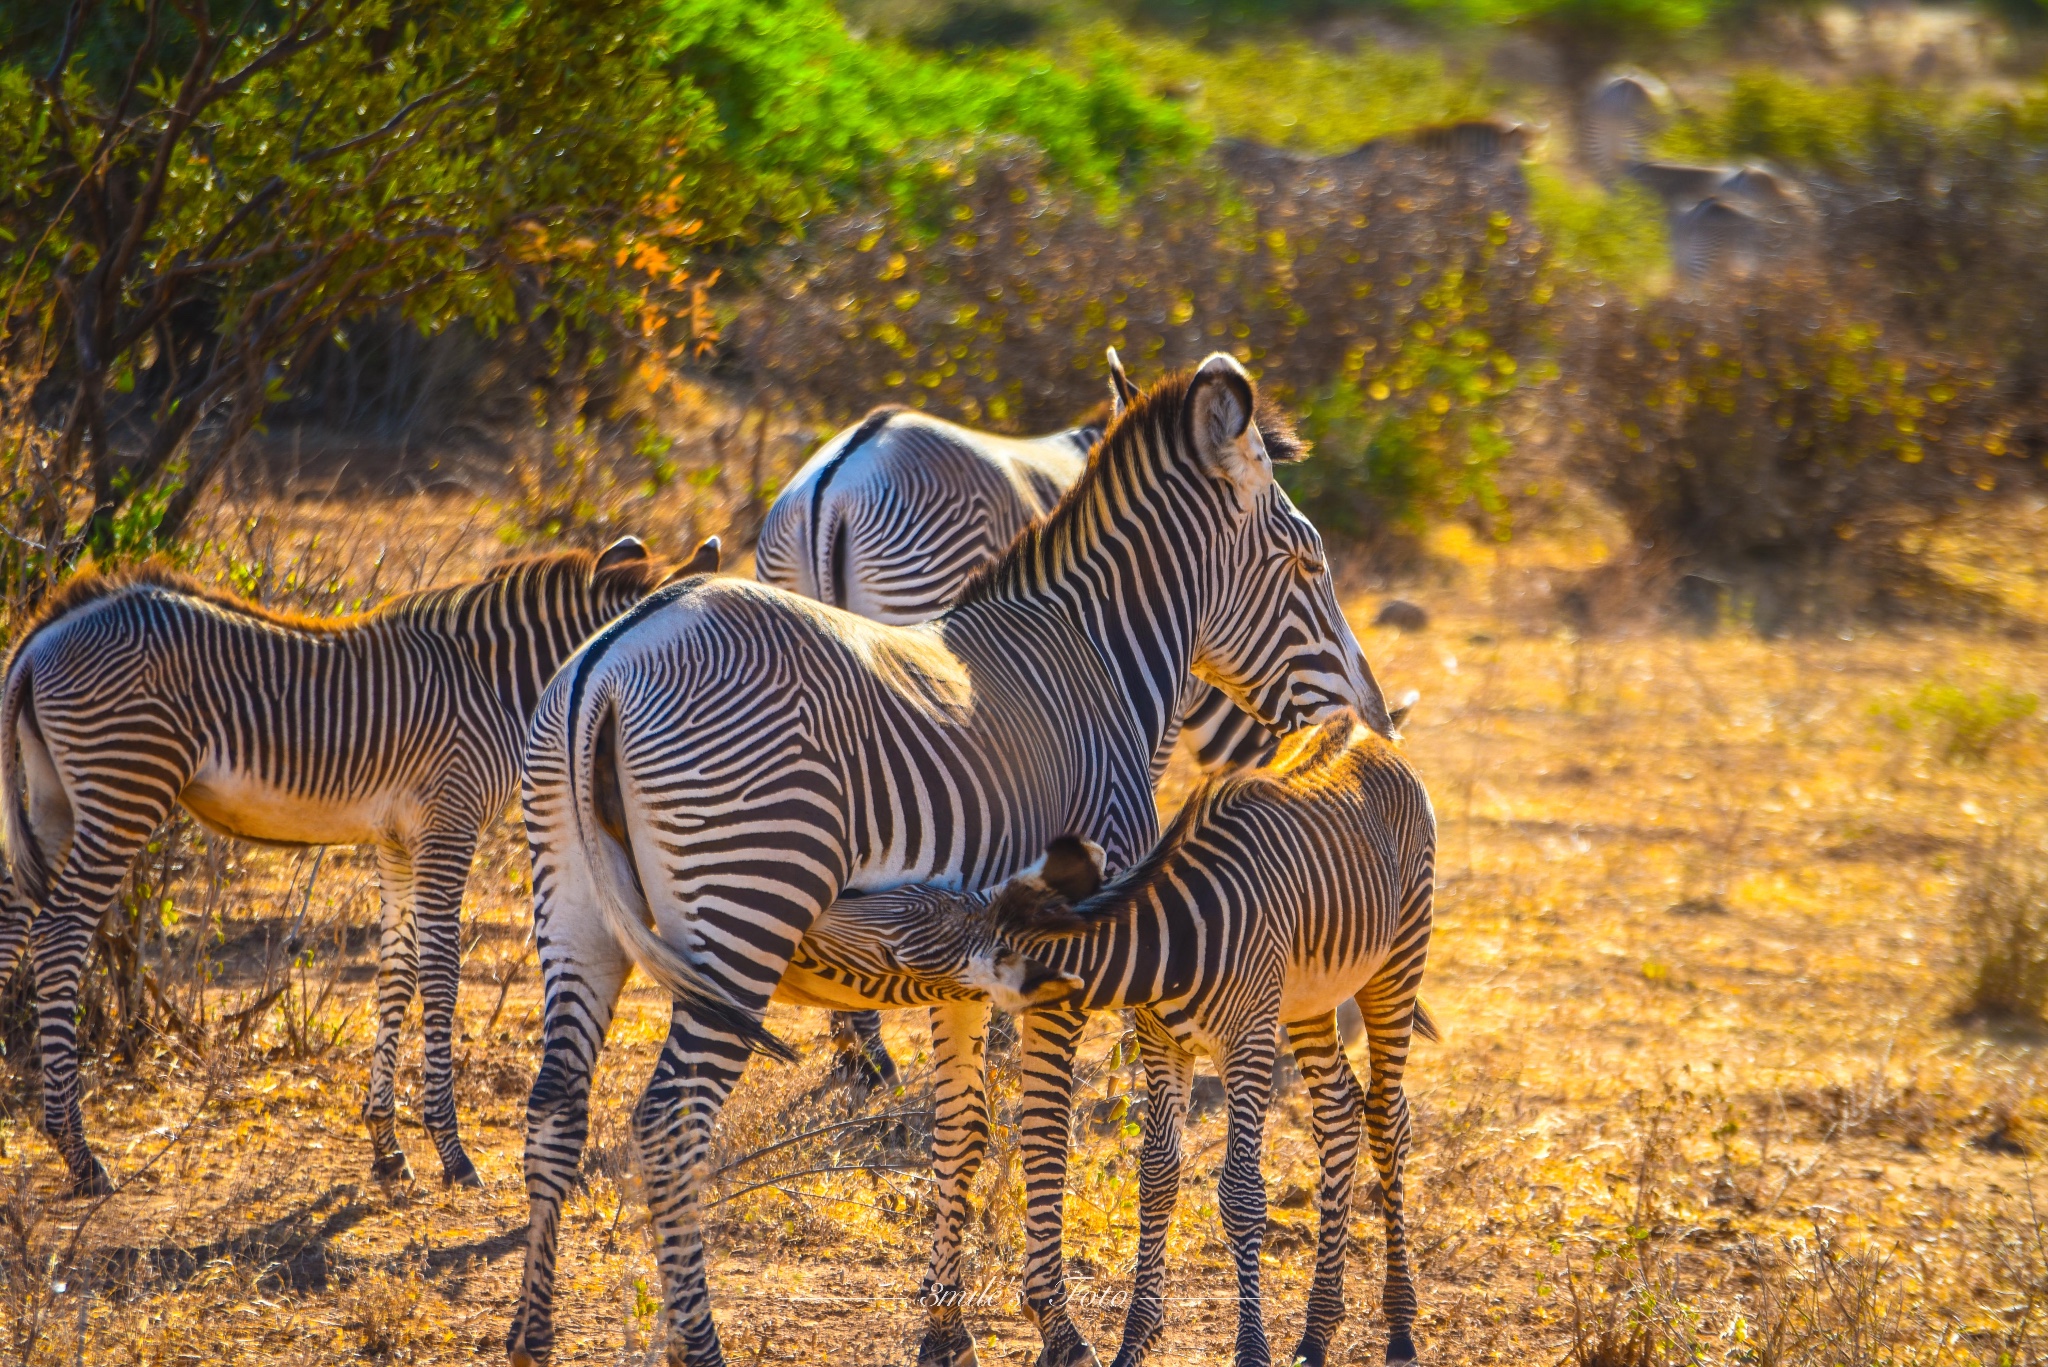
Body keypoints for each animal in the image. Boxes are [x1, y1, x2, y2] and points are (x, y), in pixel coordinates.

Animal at [0, 532, 716, 1196]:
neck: (494, 683)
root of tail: (44, 633)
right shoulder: (448, 824)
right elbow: (441, 973)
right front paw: (452, 1153)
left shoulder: (398, 840)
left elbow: (396, 972)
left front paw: (387, 1148)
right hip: (124, 786)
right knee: (59, 937)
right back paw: (79, 1155)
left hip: (56, 799)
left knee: (15, 923)